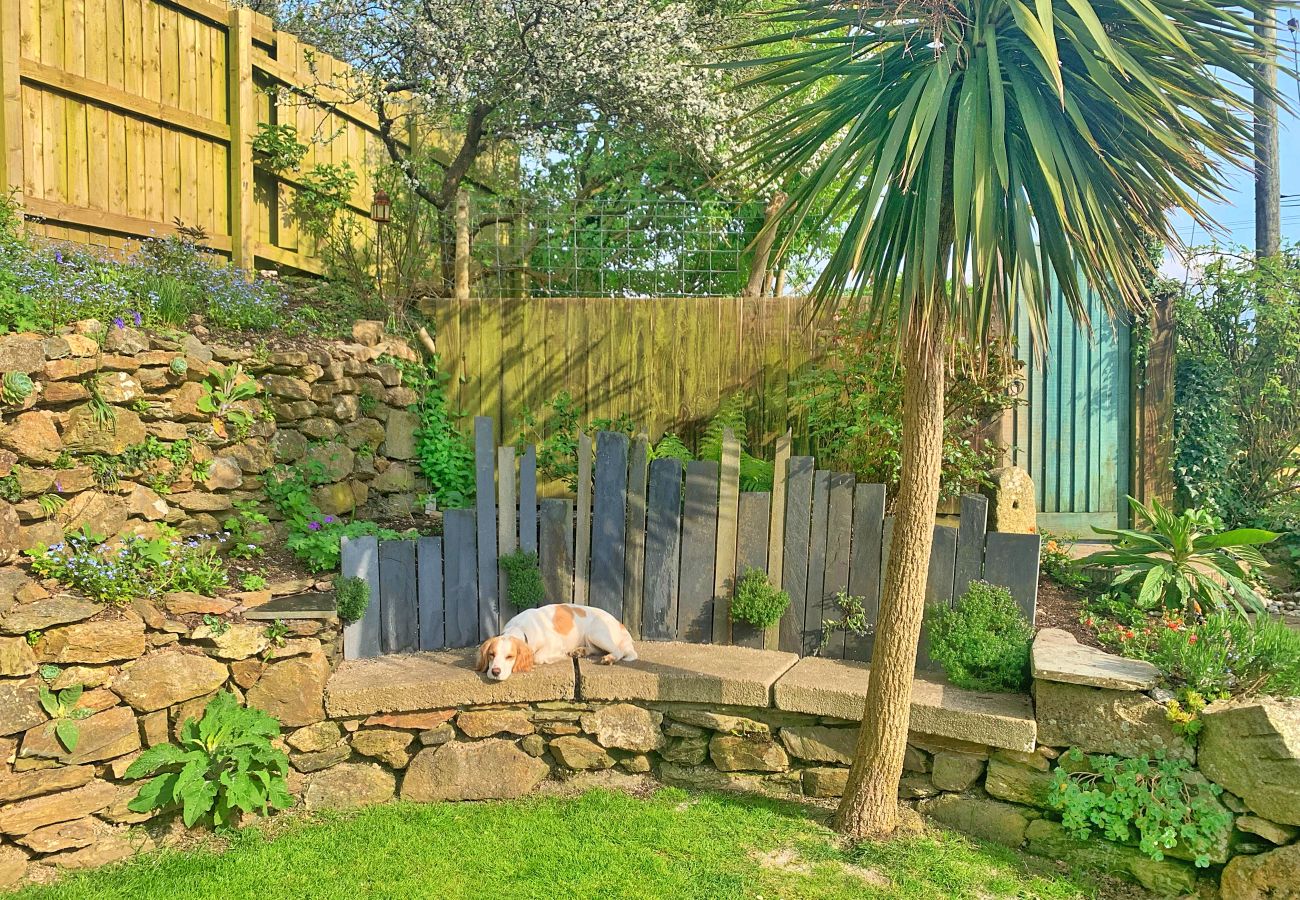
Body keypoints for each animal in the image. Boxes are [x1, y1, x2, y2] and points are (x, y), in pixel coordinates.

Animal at [478, 603, 639, 681]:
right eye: (491, 654)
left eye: (510, 657)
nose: (495, 672)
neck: (519, 628)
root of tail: (621, 625)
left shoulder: (554, 644)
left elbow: (537, 657)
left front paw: (561, 655)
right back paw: (581, 651)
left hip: (596, 633)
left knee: (619, 651)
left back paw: (609, 658)